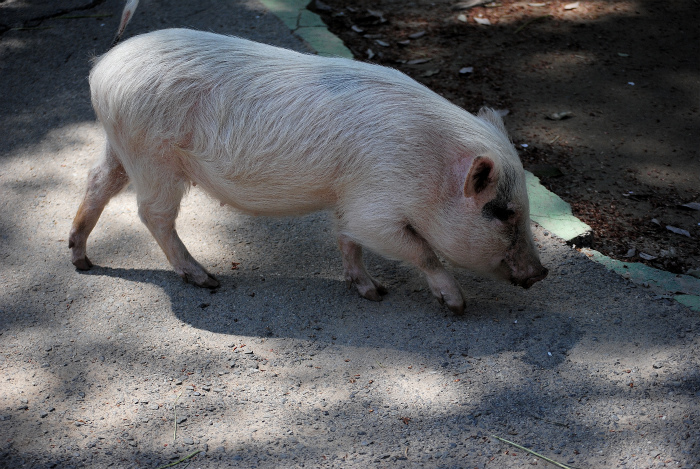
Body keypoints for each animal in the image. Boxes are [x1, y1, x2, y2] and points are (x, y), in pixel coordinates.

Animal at [68, 30, 548, 314]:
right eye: (503, 212)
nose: (541, 273)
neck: (428, 167)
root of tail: (103, 67)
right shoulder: (375, 203)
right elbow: (418, 249)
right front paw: (456, 304)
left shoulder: (350, 199)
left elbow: (347, 238)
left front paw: (372, 292)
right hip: (154, 159)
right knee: (152, 215)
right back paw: (207, 280)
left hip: (121, 145)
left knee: (97, 182)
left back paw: (82, 260)